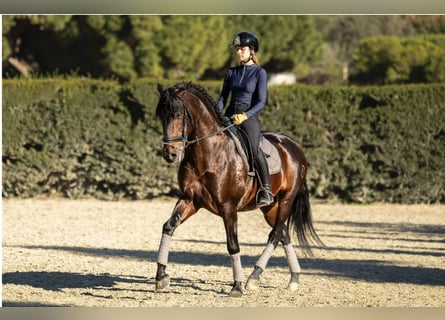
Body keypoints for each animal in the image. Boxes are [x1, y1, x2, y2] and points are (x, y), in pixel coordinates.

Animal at [154, 82, 320, 298]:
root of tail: (295, 147)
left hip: (286, 200)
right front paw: (161, 276)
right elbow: (168, 227)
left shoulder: (228, 207)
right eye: (161, 115)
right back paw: (293, 279)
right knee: (283, 233)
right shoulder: (190, 200)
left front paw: (237, 286)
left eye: (178, 114)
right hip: (270, 207)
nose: (170, 154)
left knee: (275, 234)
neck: (208, 152)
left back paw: (253, 278)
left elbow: (233, 244)